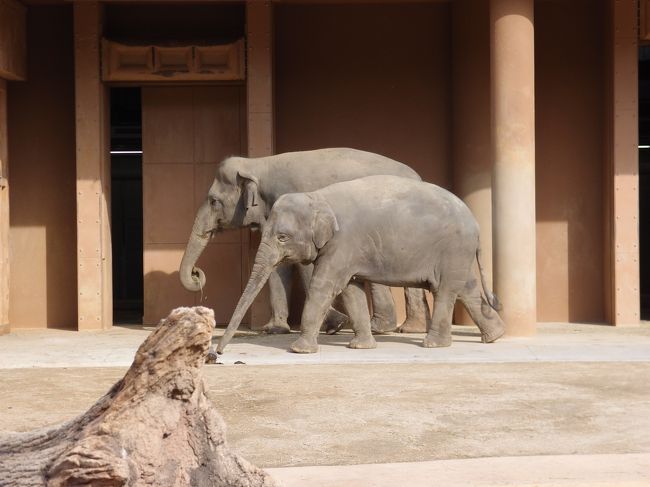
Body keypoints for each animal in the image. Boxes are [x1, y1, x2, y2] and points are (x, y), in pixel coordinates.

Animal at [178, 149, 430, 336]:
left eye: (213, 201)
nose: (197, 274)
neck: (258, 164)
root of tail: (419, 177)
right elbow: (279, 266)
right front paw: (275, 329)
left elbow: (303, 264)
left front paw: (334, 324)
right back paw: (408, 329)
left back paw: (385, 328)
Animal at [215, 175, 504, 354]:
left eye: (282, 237)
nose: (216, 354)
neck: (317, 197)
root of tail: (475, 223)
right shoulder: (347, 251)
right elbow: (350, 291)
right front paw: (360, 347)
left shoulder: (343, 242)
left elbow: (324, 286)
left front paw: (299, 350)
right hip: (458, 253)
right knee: (466, 289)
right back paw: (495, 336)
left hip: (453, 249)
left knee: (445, 290)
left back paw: (433, 344)